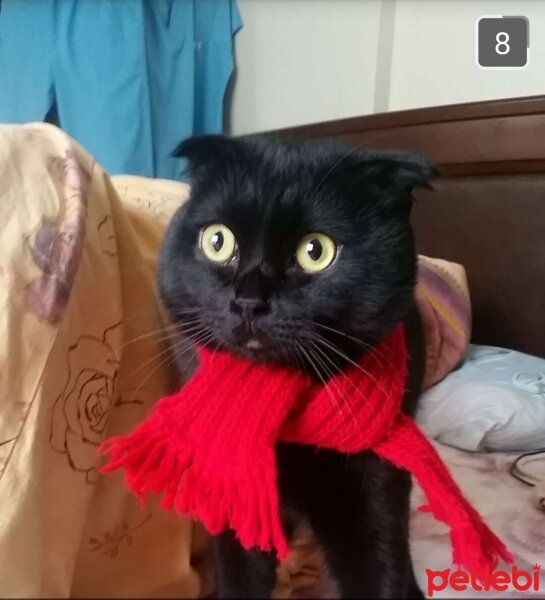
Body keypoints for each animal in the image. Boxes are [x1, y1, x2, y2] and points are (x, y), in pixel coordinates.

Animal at [156, 134, 434, 596]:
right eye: (218, 241)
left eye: (315, 251)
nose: (248, 302)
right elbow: (240, 578)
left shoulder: (374, 487)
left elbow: (381, 571)